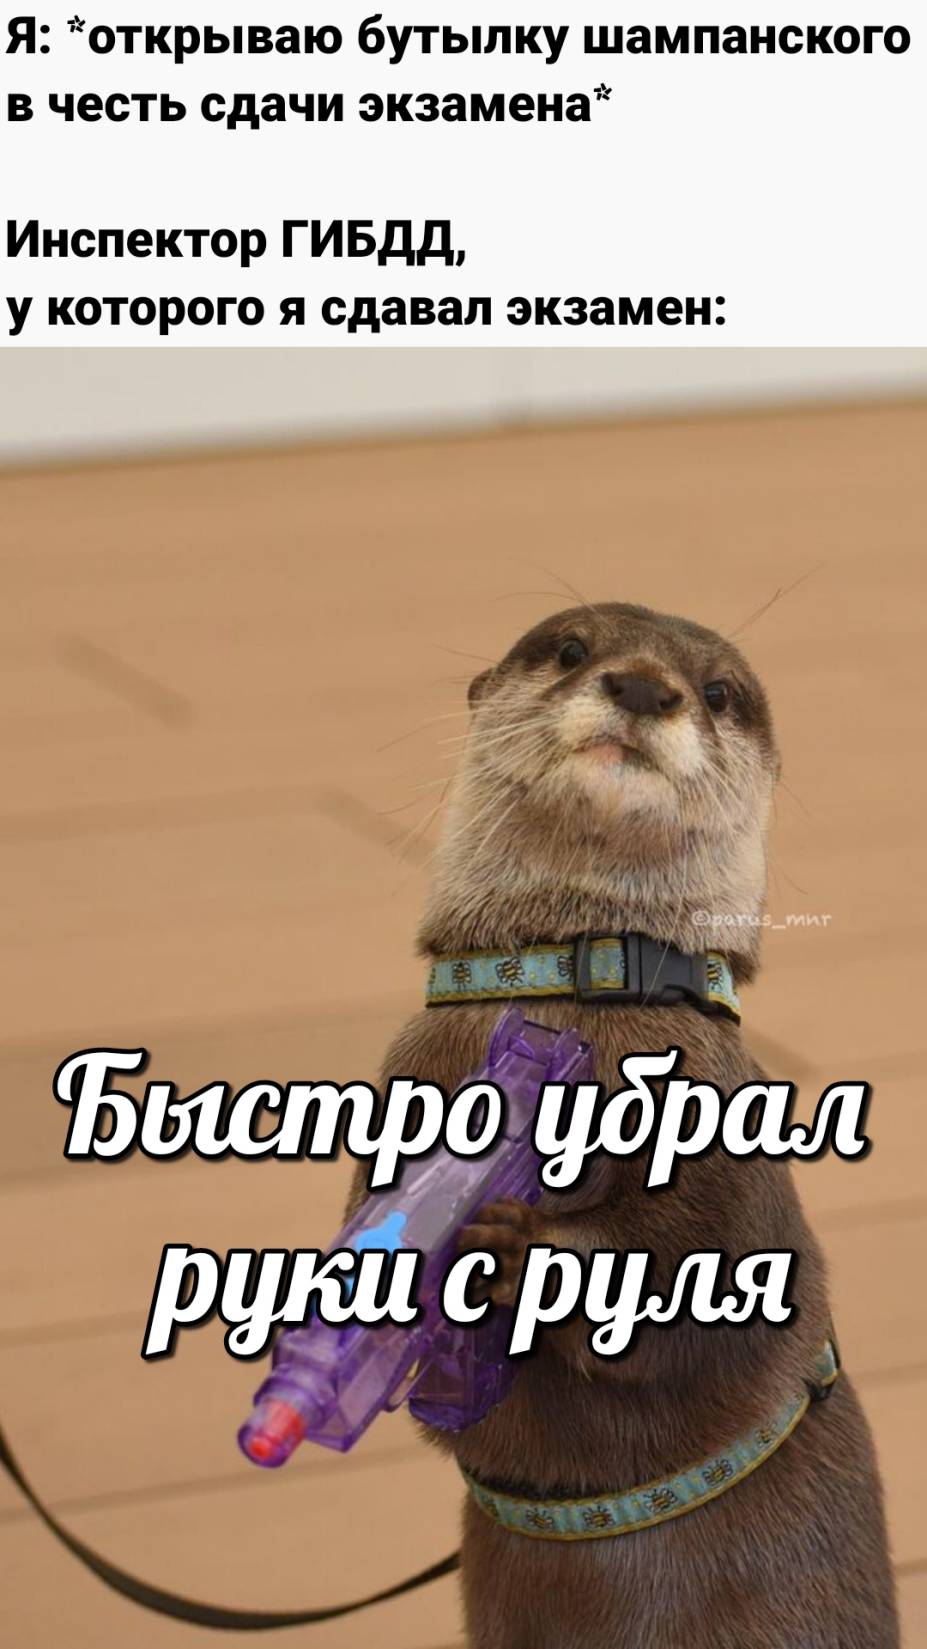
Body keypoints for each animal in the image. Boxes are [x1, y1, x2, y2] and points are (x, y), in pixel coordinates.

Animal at [351, 603, 897, 1649]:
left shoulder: (731, 1155)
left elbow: (695, 1286)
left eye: (718, 691)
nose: (645, 685)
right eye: (570, 648)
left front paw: (519, 1247)